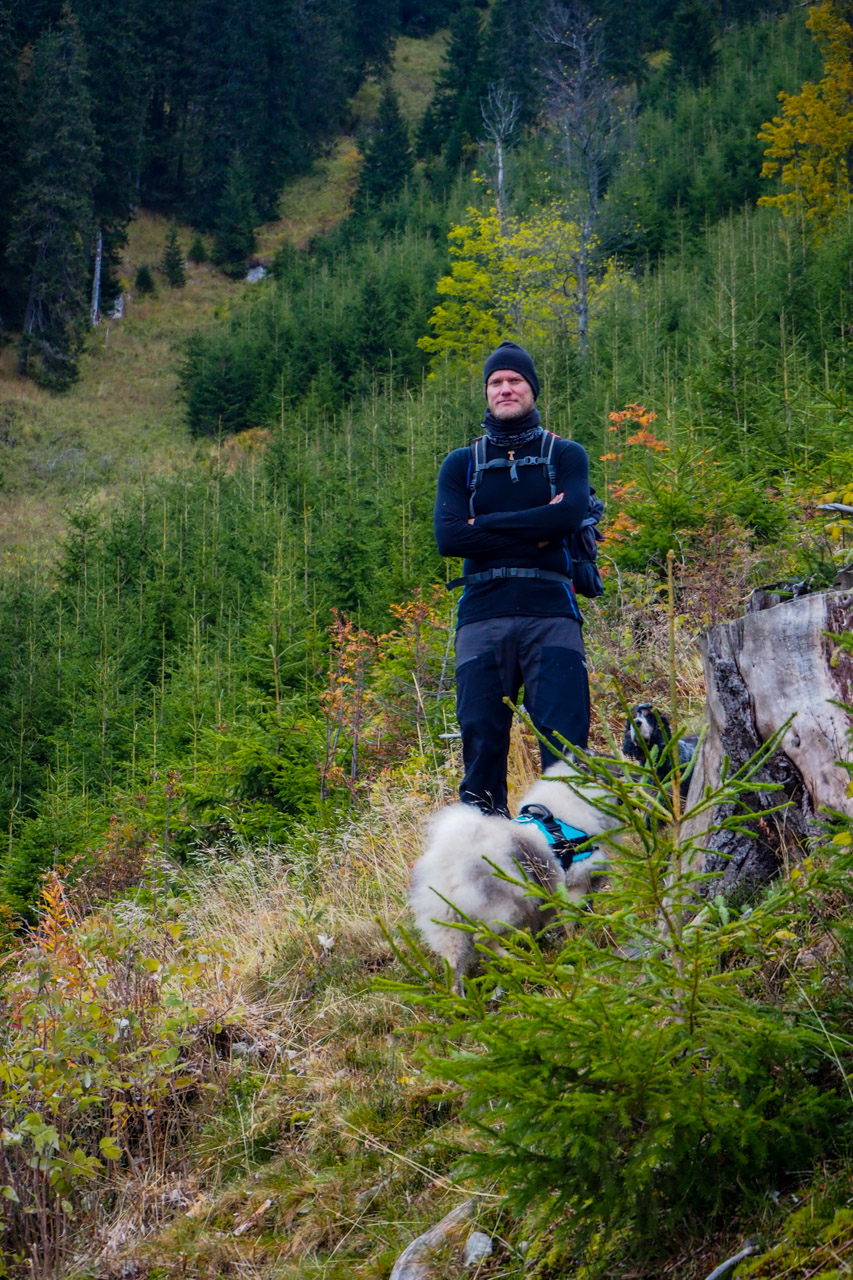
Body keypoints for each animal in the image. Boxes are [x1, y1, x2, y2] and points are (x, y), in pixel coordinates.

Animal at [409, 762, 614, 993]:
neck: (563, 820)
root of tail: (448, 867)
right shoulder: (573, 885)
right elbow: (570, 916)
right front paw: (574, 941)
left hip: (450, 928)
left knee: (454, 965)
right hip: (506, 907)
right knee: (482, 938)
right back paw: (514, 959)